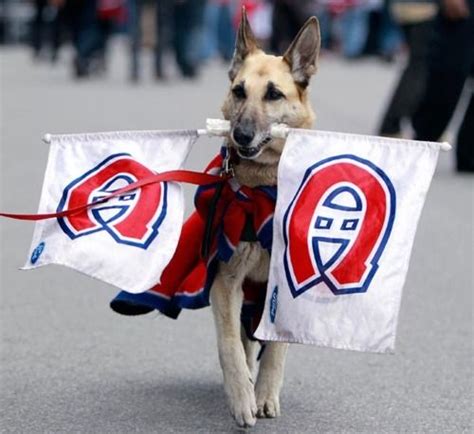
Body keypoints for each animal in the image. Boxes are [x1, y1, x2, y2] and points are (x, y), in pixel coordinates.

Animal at [212, 11, 320, 428]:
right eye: (239, 91)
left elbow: (275, 348)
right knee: (242, 340)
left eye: (274, 94)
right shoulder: (225, 282)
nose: (241, 136)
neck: (263, 186)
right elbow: (229, 345)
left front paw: (264, 394)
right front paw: (242, 396)